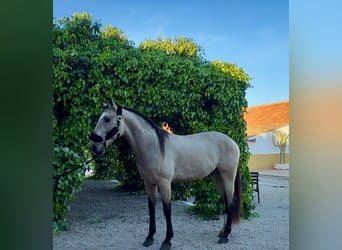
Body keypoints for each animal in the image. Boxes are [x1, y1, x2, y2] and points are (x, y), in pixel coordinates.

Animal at [89, 100, 242, 250]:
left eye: (107, 119)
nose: (94, 148)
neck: (153, 146)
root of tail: (232, 142)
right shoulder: (149, 183)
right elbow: (151, 208)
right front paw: (149, 238)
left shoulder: (165, 183)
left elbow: (167, 210)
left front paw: (167, 240)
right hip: (217, 177)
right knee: (226, 202)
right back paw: (222, 232)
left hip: (228, 177)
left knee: (231, 201)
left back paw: (225, 235)